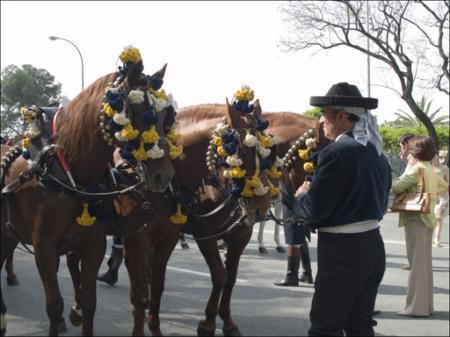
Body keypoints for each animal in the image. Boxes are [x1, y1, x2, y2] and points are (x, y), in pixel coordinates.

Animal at [1, 46, 178, 334]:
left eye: (166, 118)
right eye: (140, 113)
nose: (163, 175)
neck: (69, 170)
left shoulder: (93, 245)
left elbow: (90, 302)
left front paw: (79, 312)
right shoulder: (44, 247)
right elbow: (54, 306)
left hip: (9, 233)